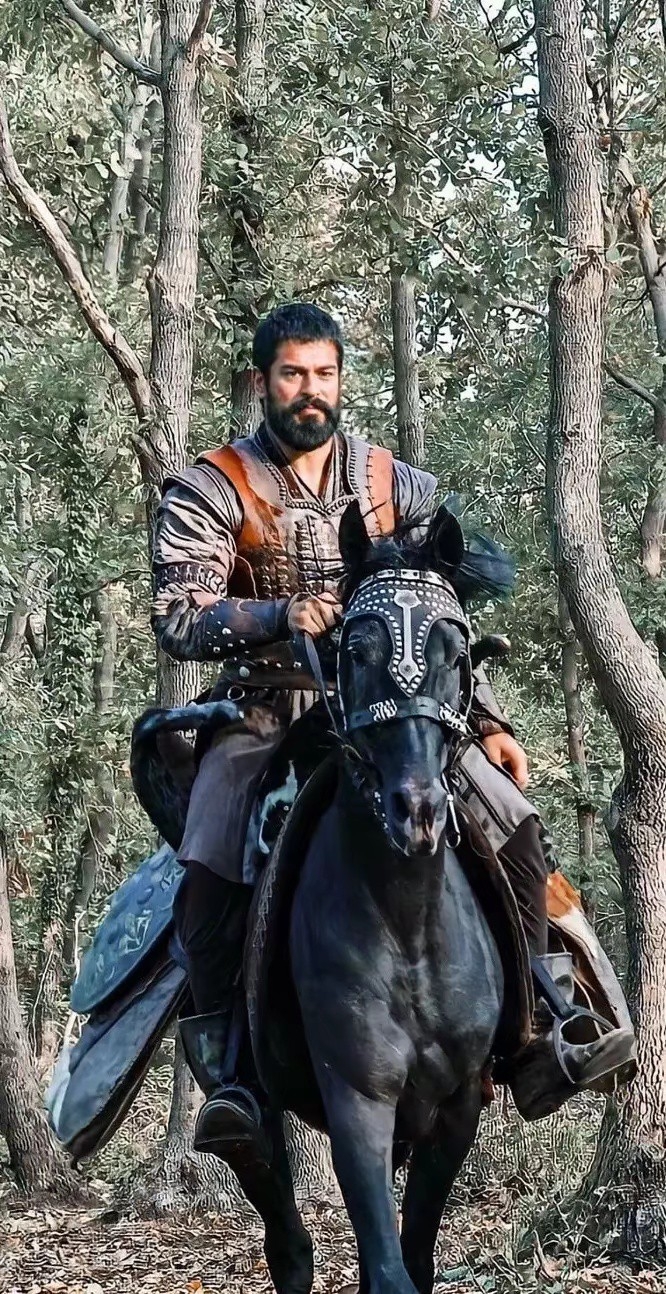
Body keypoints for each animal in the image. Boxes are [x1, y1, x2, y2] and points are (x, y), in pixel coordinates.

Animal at [221, 499, 513, 1294]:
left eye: (457, 654)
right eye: (353, 650)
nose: (417, 810)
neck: (408, 923)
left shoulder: (455, 1110)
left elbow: (415, 1258)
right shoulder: (358, 1102)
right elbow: (385, 1267)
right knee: (271, 1196)